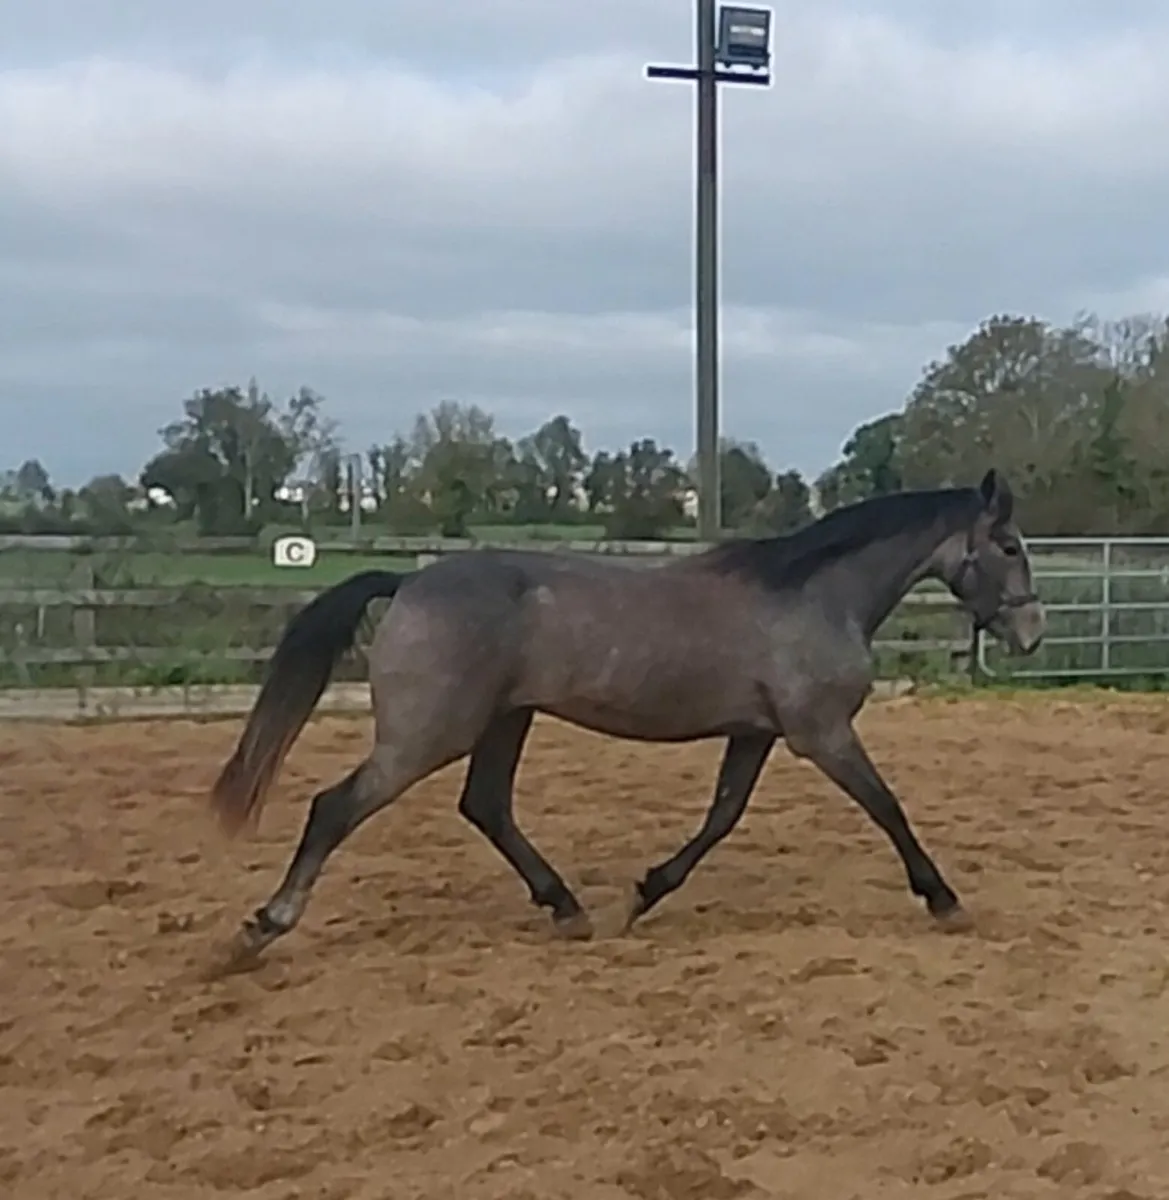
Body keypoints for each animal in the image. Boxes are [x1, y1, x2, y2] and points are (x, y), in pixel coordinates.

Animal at [208, 468, 1043, 966]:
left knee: (485, 806)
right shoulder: (821, 735)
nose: (1031, 633)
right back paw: (262, 927)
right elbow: (886, 807)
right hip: (426, 734)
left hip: (504, 721)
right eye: (1006, 545)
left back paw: (568, 909)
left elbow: (720, 819)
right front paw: (943, 900)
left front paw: (642, 894)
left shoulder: (756, 734)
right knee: (335, 807)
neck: (812, 594)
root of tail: (407, 583)